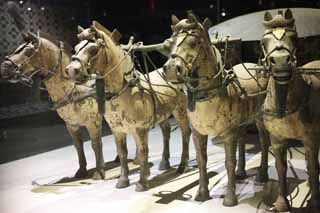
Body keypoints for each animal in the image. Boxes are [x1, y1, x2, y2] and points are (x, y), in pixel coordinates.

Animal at [64, 21, 190, 191]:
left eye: (93, 49)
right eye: (76, 48)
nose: (71, 70)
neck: (126, 91)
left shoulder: (140, 129)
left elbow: (143, 151)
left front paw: (142, 182)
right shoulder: (117, 130)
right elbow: (123, 153)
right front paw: (123, 181)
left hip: (180, 111)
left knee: (185, 133)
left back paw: (183, 165)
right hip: (163, 115)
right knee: (166, 132)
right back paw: (165, 163)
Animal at [162, 13, 270, 206]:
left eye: (194, 42)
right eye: (171, 43)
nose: (171, 70)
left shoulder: (228, 133)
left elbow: (229, 161)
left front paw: (229, 198)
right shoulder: (198, 133)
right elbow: (202, 160)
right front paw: (202, 193)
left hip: (259, 118)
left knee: (264, 142)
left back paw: (262, 174)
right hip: (241, 123)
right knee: (242, 140)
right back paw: (241, 173)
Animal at [262, 9, 318, 211]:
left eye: (294, 38)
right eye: (264, 41)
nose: (280, 62)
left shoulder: (311, 140)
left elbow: (313, 167)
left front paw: (315, 204)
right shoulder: (277, 140)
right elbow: (281, 167)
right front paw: (281, 203)